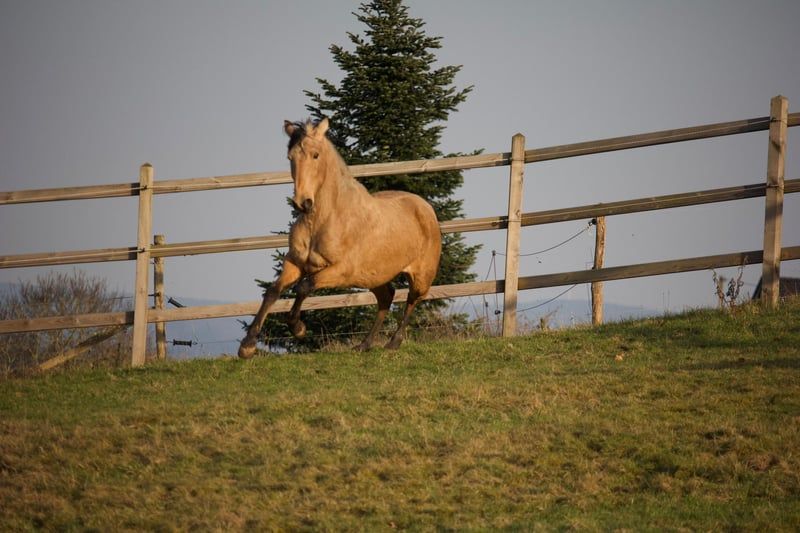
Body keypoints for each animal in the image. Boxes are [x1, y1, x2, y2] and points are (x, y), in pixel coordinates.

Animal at [238, 118, 442, 359]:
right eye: (290, 157)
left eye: (315, 155)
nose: (302, 203)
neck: (324, 221)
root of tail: (425, 206)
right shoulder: (295, 262)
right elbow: (272, 292)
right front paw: (247, 346)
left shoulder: (342, 271)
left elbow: (304, 286)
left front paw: (298, 328)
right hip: (373, 277)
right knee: (386, 297)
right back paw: (364, 344)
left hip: (420, 275)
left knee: (412, 300)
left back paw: (393, 343)